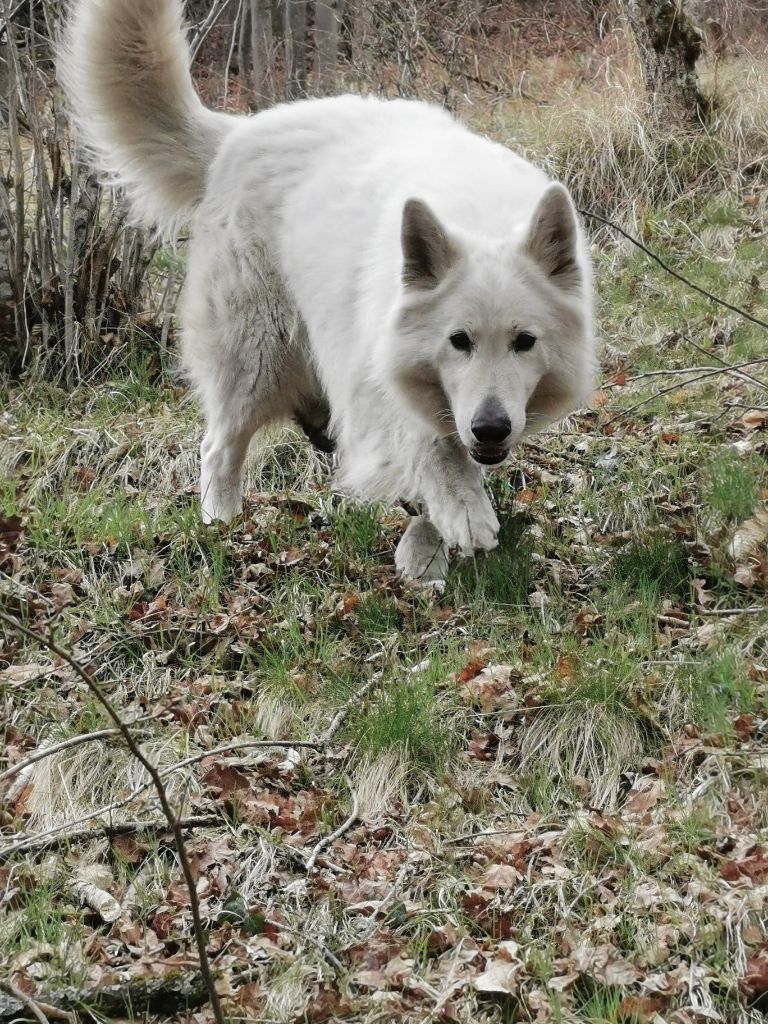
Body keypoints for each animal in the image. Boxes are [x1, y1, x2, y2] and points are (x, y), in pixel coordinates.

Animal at [63, 0, 598, 585]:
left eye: (525, 342)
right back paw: (221, 525)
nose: (491, 428)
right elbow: (430, 444)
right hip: (256, 359)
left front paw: (428, 544)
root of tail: (237, 134)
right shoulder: (371, 375)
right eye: (458, 341)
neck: (477, 219)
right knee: (217, 447)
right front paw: (464, 508)